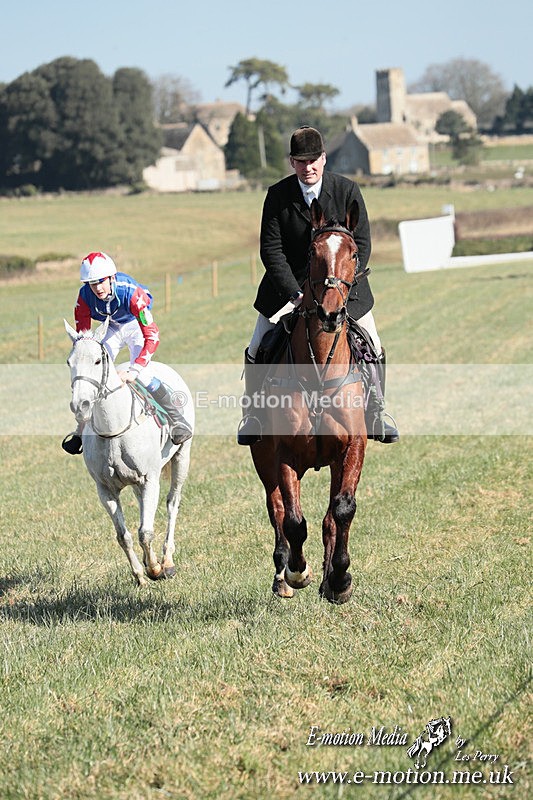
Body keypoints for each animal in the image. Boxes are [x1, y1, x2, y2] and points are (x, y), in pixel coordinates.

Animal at [64, 318, 193, 587]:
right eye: (69, 362)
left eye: (97, 361)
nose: (80, 405)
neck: (114, 431)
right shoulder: (105, 490)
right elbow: (123, 535)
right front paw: (140, 575)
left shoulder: (150, 479)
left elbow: (145, 531)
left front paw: (155, 569)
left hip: (182, 457)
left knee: (172, 503)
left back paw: (167, 560)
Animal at [251, 198, 367, 604]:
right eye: (312, 253)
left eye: (354, 253)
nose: (330, 315)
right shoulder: (283, 452)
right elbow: (293, 519)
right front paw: (297, 571)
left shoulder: (352, 447)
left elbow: (342, 510)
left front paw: (340, 579)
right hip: (264, 458)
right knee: (276, 508)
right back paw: (283, 575)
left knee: (330, 514)